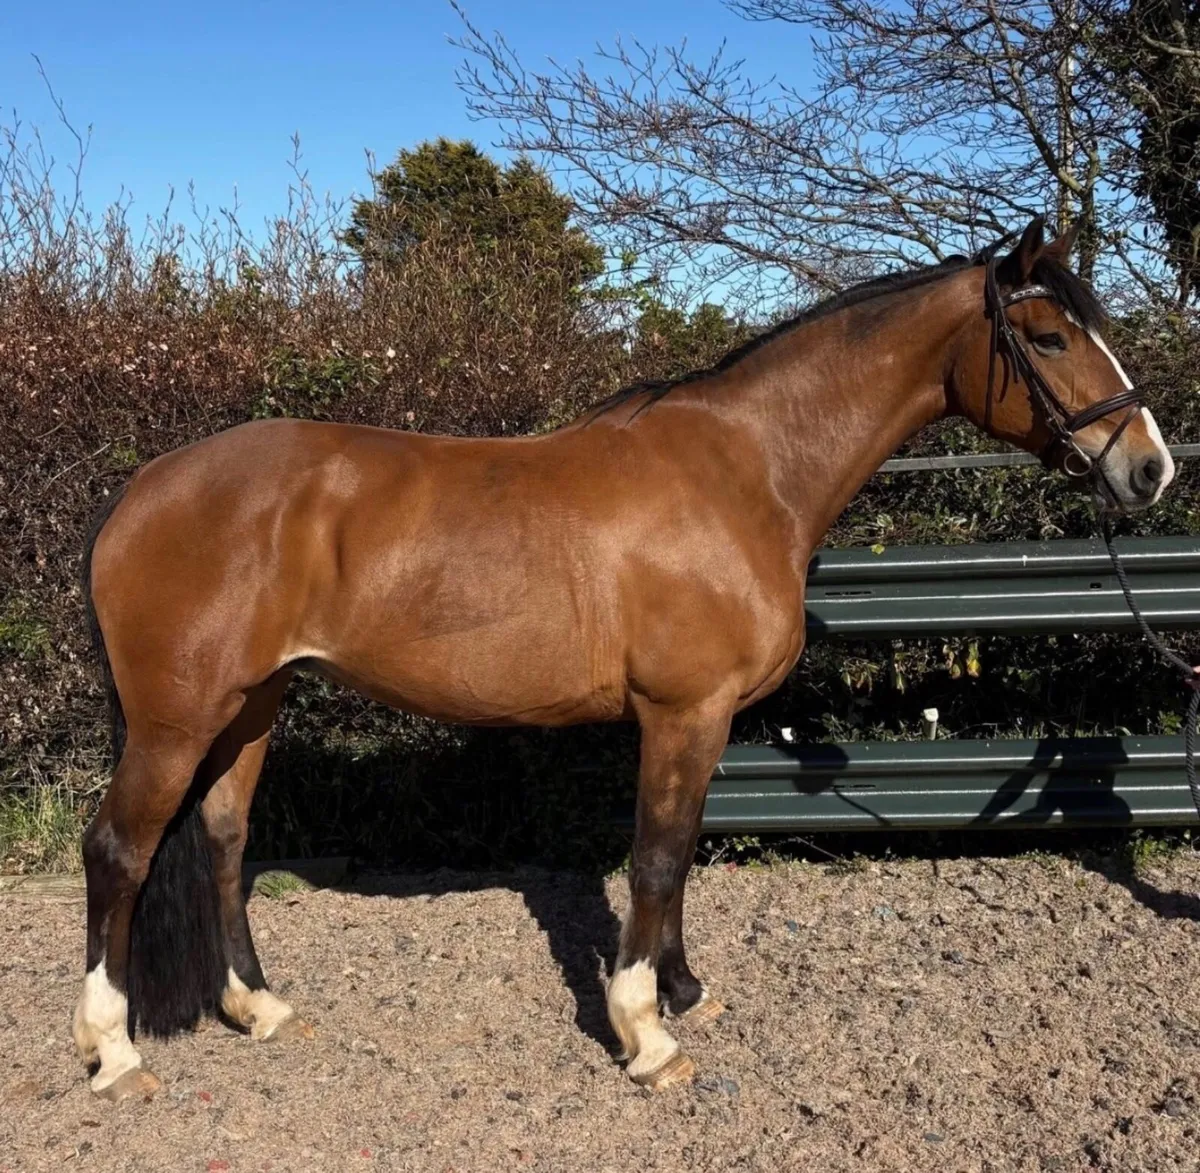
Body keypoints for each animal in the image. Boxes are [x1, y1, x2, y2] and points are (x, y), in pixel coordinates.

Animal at [73, 217, 1175, 1100]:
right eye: (1048, 336)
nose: (1150, 468)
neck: (744, 472)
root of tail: (142, 492)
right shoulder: (682, 711)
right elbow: (653, 857)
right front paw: (646, 1032)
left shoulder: (704, 719)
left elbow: (678, 855)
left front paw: (684, 992)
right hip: (178, 720)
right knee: (119, 849)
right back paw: (115, 1053)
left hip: (252, 706)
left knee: (222, 840)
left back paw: (256, 1006)